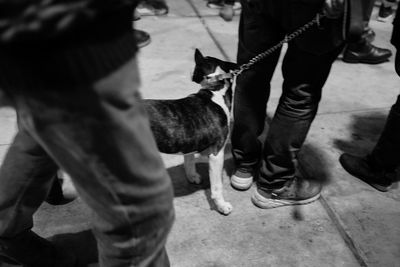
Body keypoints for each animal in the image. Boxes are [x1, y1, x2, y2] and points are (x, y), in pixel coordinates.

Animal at [144, 48, 238, 216]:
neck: (214, 90)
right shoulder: (216, 154)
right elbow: (217, 187)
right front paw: (221, 206)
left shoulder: (189, 141)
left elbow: (189, 160)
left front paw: (192, 176)